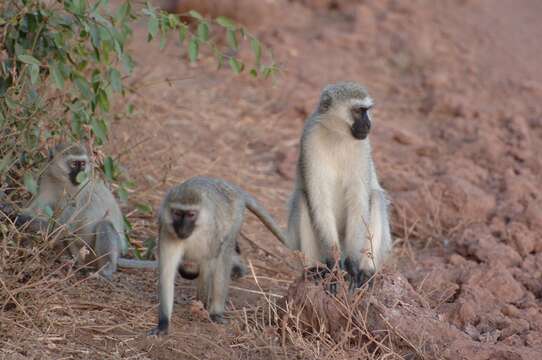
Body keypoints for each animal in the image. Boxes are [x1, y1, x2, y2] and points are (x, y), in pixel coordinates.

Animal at [0, 143, 157, 278]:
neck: (63, 183)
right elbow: (36, 209)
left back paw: (106, 269)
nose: (81, 175)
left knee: (104, 225)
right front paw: (9, 208)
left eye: (83, 164)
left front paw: (17, 217)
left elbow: (62, 227)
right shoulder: (48, 182)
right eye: (75, 164)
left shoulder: (79, 196)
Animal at [286, 82, 394, 290]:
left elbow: (358, 203)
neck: (337, 136)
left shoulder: (363, 147)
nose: (368, 124)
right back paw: (314, 270)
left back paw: (366, 271)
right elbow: (319, 202)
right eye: (358, 111)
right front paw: (335, 267)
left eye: (367, 111)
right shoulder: (310, 139)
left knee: (376, 197)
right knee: (302, 198)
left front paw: (352, 266)